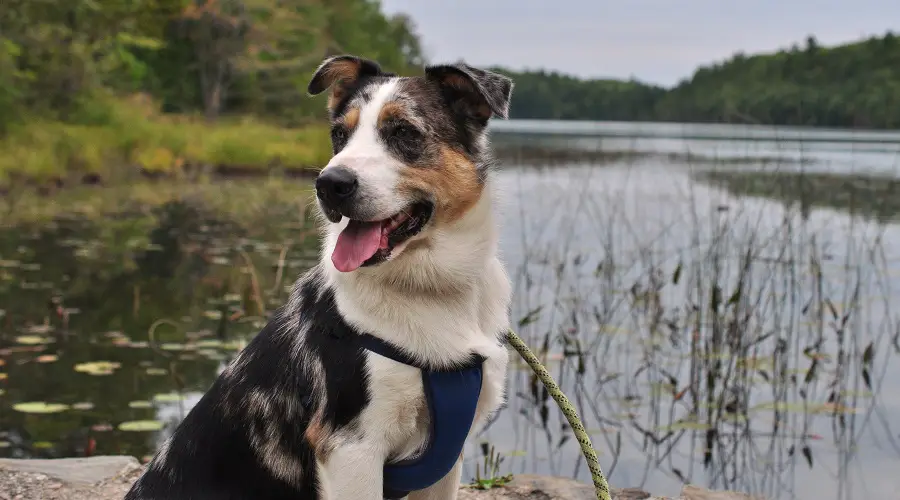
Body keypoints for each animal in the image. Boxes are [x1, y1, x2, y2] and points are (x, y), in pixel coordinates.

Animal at [126, 55, 516, 500]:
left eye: (403, 131)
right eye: (339, 135)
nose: (330, 184)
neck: (433, 289)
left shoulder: (445, 461)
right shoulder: (351, 447)